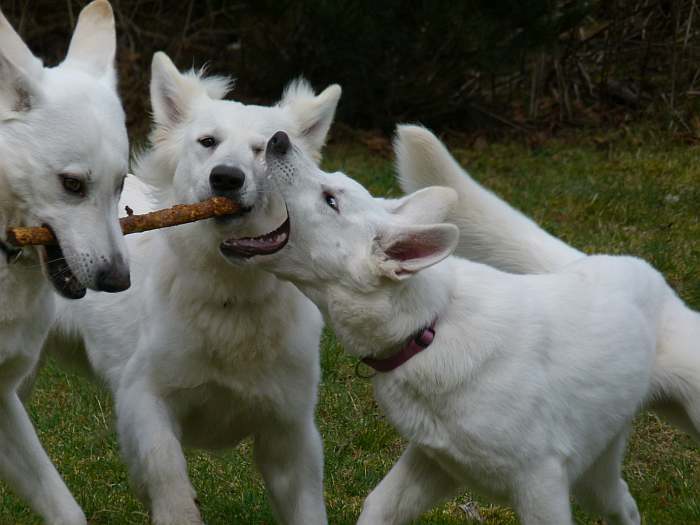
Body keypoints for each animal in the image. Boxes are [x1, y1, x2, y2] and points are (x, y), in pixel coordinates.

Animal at [45, 53, 340, 524]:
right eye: (208, 142)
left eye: (264, 148)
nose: (226, 178)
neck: (230, 297)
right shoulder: (144, 397)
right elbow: (170, 482)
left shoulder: (291, 433)